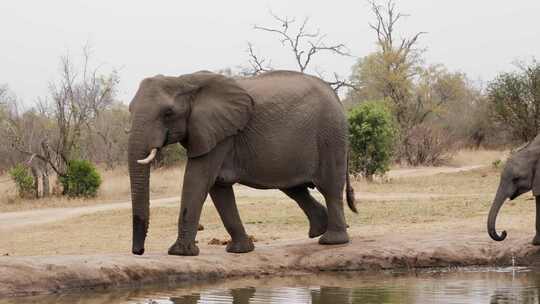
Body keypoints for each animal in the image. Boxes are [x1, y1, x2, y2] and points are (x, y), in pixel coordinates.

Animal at [125, 70, 354, 255]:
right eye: (130, 110)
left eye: (168, 113)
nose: (138, 251)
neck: (184, 80)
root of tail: (335, 95)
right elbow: (218, 187)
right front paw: (240, 250)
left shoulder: (220, 134)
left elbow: (197, 179)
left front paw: (179, 253)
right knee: (294, 188)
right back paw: (319, 230)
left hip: (330, 136)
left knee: (329, 187)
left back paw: (331, 241)